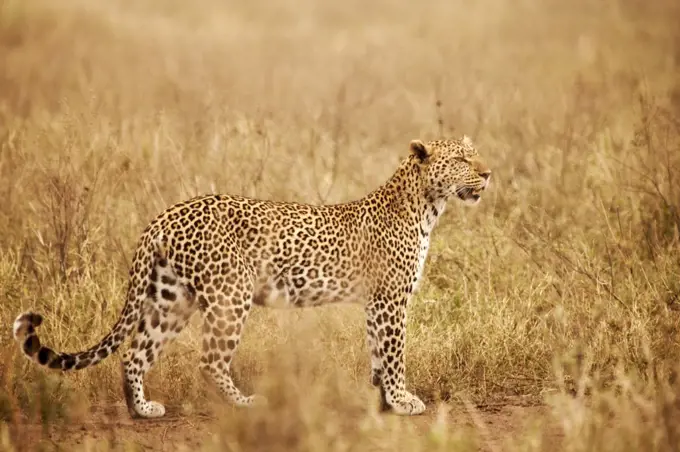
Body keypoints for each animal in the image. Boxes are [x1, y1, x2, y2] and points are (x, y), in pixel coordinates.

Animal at [13, 136, 492, 418]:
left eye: (476, 154)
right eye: (462, 158)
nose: (488, 173)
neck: (428, 206)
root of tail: (165, 215)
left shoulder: (377, 302)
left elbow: (378, 352)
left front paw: (383, 401)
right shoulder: (390, 298)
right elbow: (394, 354)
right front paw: (402, 399)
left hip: (171, 299)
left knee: (134, 353)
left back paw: (141, 409)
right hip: (230, 295)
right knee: (209, 360)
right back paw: (245, 403)